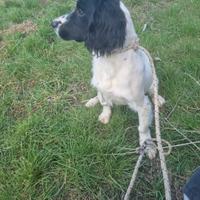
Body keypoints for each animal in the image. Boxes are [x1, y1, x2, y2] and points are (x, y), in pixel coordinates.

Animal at [52, 0, 166, 159]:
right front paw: (104, 115)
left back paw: (158, 99)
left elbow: (142, 127)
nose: (52, 23)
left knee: (153, 90)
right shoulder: (101, 88)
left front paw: (147, 145)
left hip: (154, 80)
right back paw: (92, 101)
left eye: (81, 11)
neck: (111, 61)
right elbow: (105, 103)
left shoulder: (143, 104)